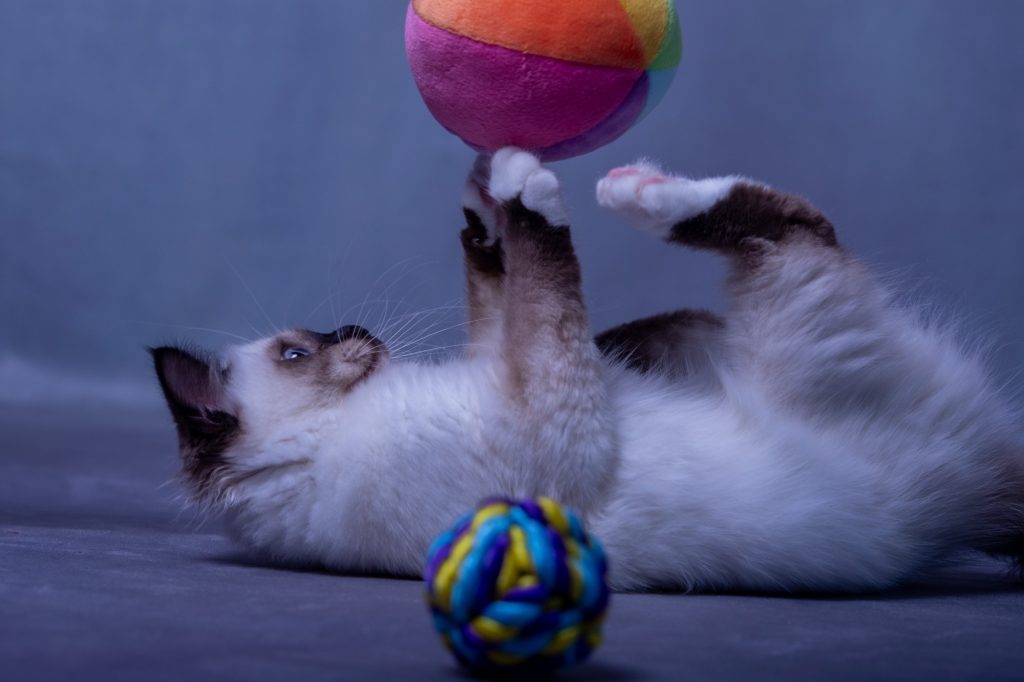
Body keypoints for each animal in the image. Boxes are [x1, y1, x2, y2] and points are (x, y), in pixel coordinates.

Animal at [151, 148, 1024, 589]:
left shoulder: (500, 362)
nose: (358, 329)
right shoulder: (548, 413)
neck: (316, 449)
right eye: (299, 354)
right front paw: (522, 189)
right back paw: (638, 193)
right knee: (790, 227)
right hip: (804, 318)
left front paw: (483, 203)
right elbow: (547, 278)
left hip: (721, 335)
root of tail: (972, 502)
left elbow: (505, 288)